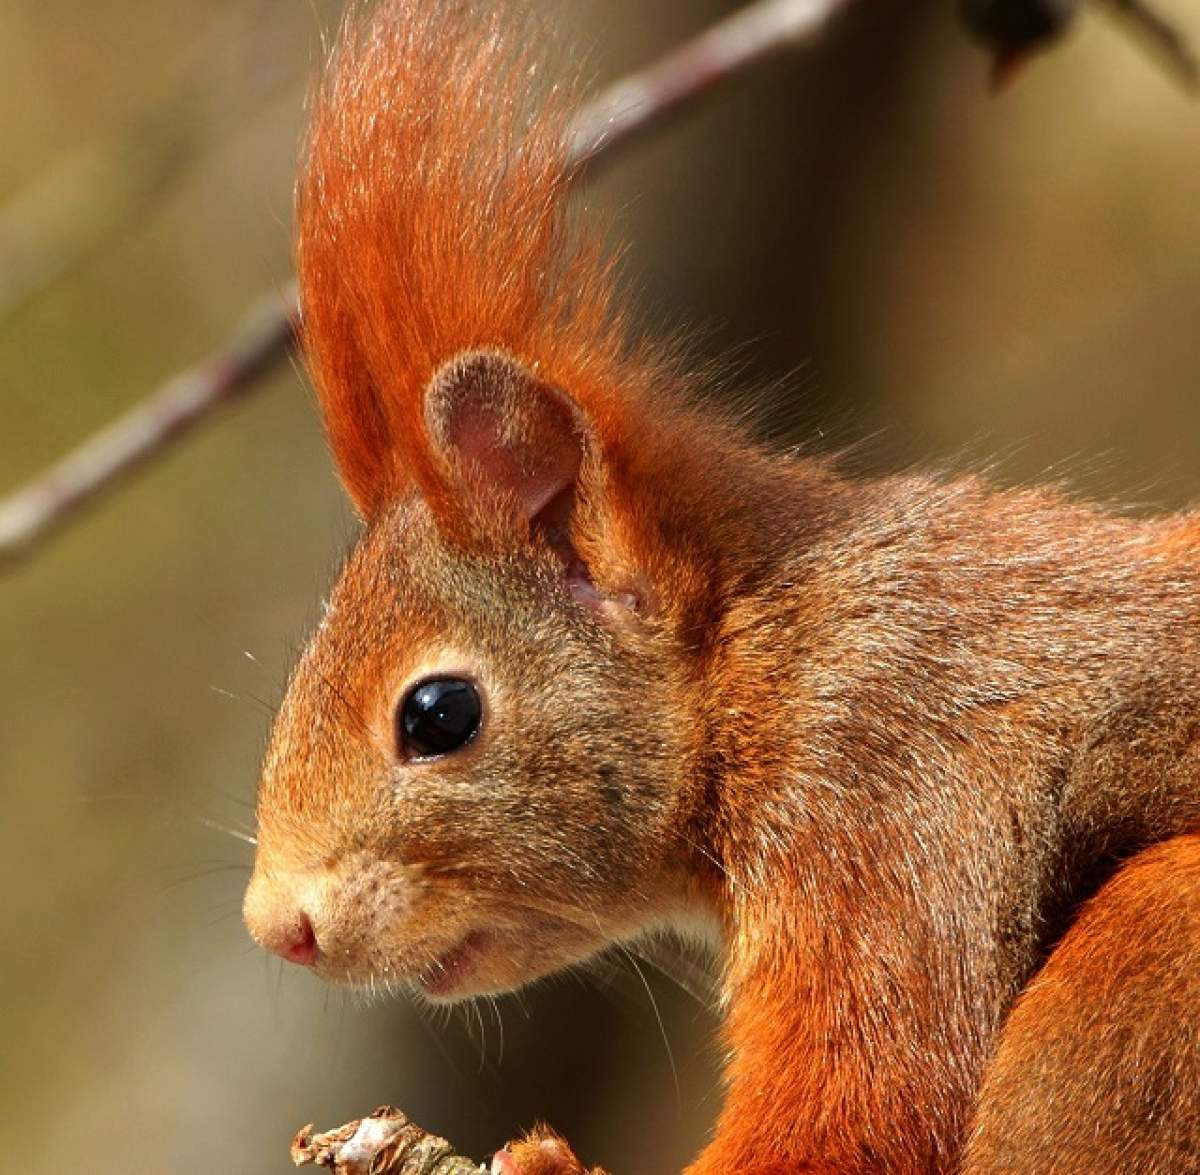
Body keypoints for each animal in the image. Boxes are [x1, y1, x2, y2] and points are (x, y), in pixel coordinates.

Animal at [238, 4, 1200, 1171]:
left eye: (438, 714)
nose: (278, 928)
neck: (766, 653)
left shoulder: (890, 791)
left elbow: (860, 1105)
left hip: (1148, 963)